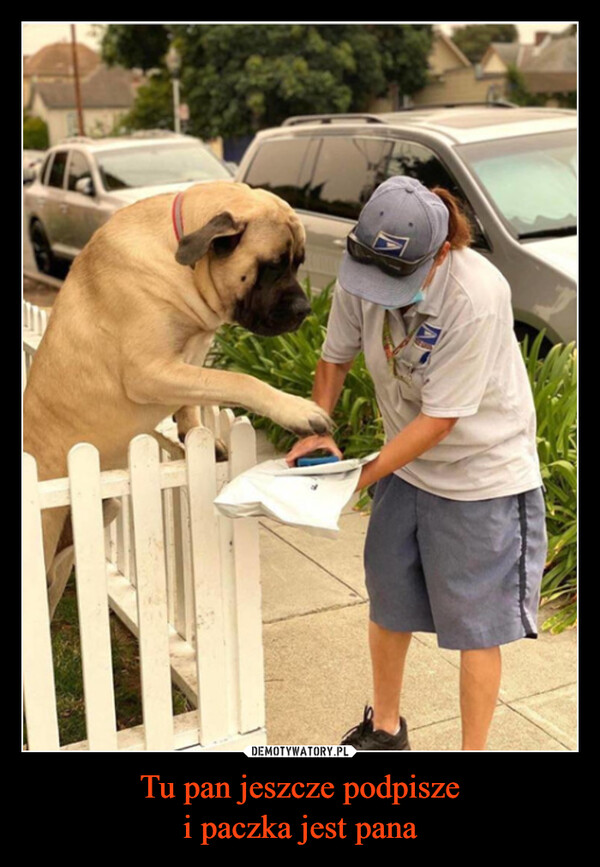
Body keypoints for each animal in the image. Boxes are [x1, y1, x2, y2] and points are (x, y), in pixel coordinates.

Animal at [23, 181, 332, 616]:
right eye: (273, 265)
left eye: (299, 262)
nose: (306, 309)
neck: (185, 263)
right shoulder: (148, 370)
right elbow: (235, 380)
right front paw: (298, 410)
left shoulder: (189, 356)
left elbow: (200, 391)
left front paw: (195, 434)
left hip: (84, 534)